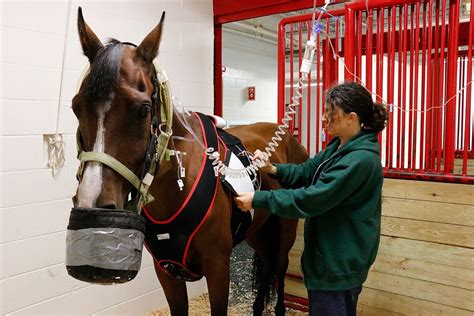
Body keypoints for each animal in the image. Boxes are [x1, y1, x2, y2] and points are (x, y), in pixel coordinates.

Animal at [70, 8, 308, 316]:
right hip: (258, 229)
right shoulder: (166, 272)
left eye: (143, 109)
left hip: (286, 229)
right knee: (267, 264)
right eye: (76, 107)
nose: (92, 205)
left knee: (279, 267)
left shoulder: (218, 268)